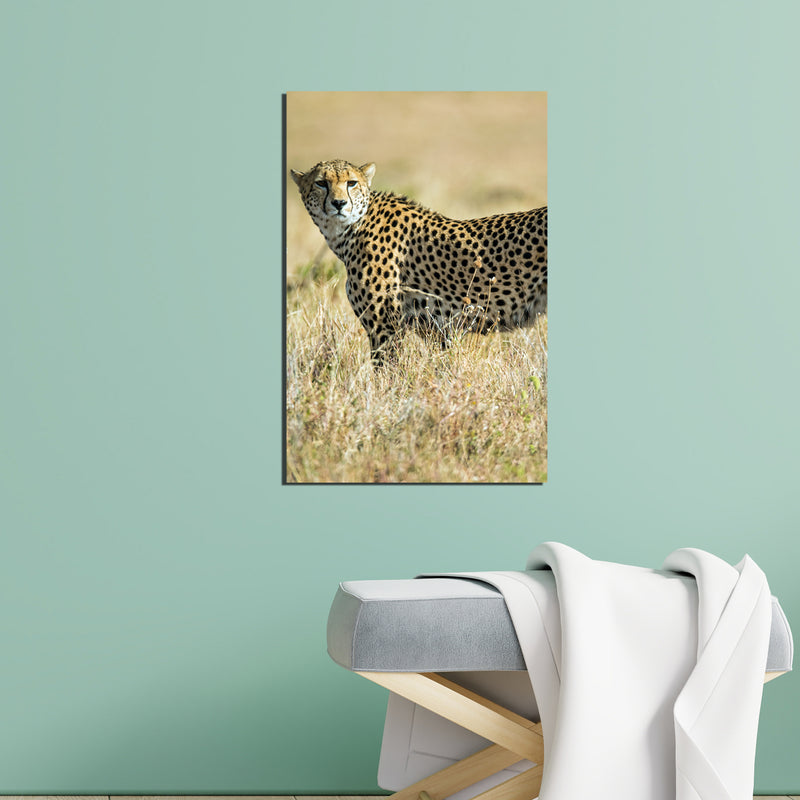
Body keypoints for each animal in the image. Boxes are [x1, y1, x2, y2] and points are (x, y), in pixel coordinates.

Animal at [290, 159, 547, 366]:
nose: (339, 203)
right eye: (321, 183)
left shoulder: (385, 328)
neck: (350, 228)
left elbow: (388, 374)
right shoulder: (437, 331)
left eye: (351, 183)